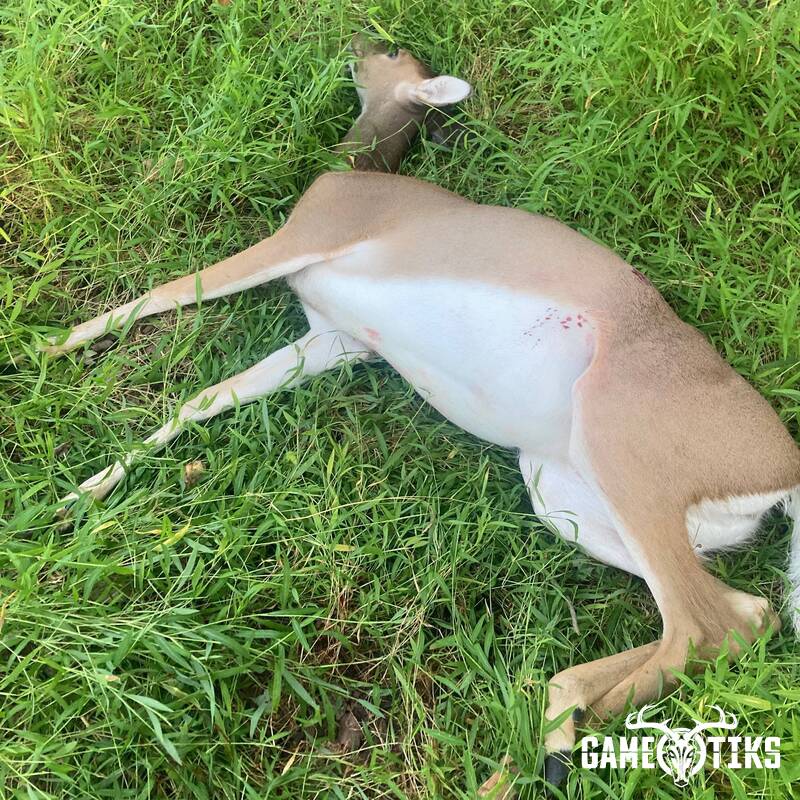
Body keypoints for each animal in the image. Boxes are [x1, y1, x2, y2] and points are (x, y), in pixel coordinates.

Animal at [41, 35, 800, 794]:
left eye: (392, 53)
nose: (355, 43)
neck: (362, 174)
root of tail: (783, 467)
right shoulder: (332, 340)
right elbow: (203, 399)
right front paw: (80, 494)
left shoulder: (303, 238)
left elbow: (168, 291)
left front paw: (49, 344)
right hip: (563, 496)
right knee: (746, 614)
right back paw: (539, 746)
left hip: (621, 458)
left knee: (704, 626)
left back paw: (542, 751)